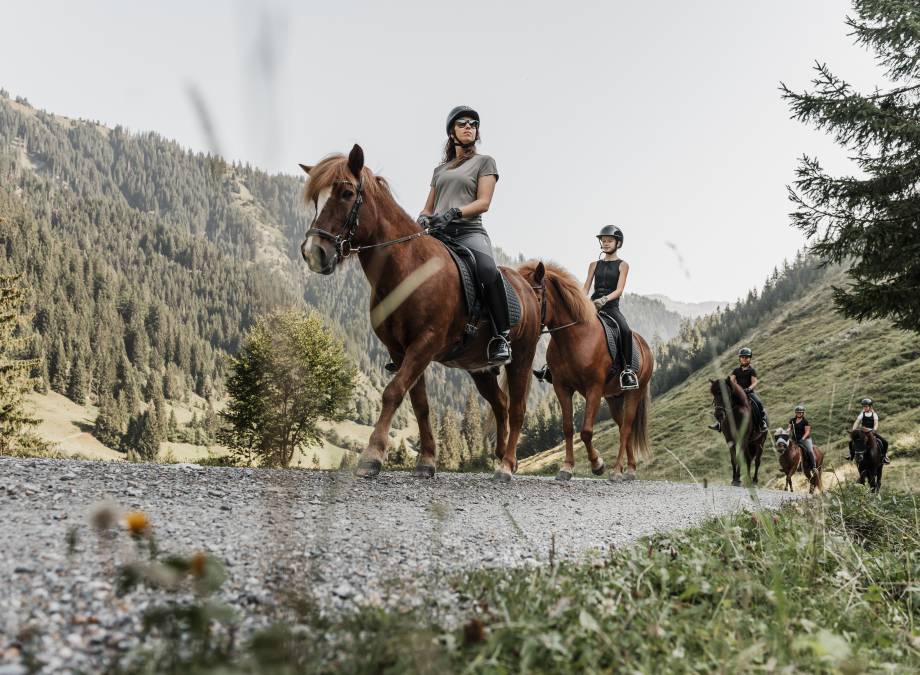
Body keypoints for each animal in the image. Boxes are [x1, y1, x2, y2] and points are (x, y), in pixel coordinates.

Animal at [298, 147, 544, 480]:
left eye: (347, 194)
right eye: (316, 198)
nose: (314, 252)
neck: (410, 269)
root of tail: (526, 287)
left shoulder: (425, 343)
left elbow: (392, 392)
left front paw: (371, 457)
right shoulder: (400, 350)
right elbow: (419, 404)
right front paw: (426, 461)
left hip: (521, 356)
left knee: (517, 407)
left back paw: (506, 466)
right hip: (479, 369)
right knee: (501, 404)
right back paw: (501, 455)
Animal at [516, 262, 656, 480]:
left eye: (536, 297)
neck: (575, 338)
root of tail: (644, 346)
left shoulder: (594, 389)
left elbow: (586, 431)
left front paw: (598, 464)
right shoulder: (562, 387)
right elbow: (567, 428)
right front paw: (566, 468)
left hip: (634, 393)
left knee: (626, 429)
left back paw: (617, 470)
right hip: (614, 398)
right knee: (622, 427)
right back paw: (630, 469)